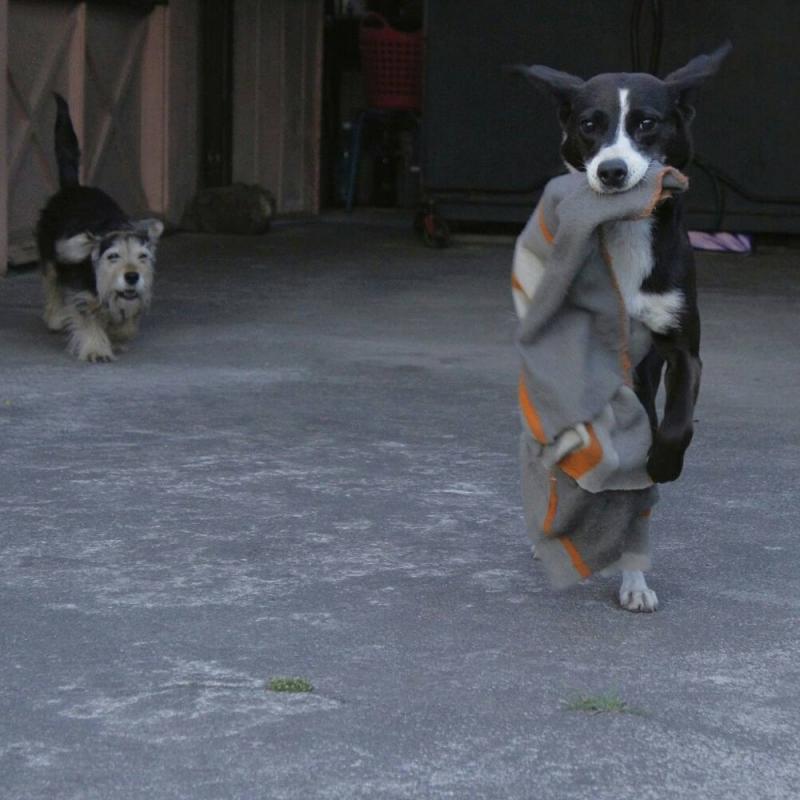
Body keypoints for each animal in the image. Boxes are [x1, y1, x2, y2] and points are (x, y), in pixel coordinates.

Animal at [37, 91, 164, 362]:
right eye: (112, 256)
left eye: (143, 257)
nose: (132, 276)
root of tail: (72, 187)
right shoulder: (82, 291)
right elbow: (87, 318)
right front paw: (96, 348)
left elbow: (125, 322)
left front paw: (117, 335)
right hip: (49, 254)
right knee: (52, 283)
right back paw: (54, 316)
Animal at [512, 45, 732, 612]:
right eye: (590, 124)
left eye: (647, 123)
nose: (611, 172)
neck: (628, 230)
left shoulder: (683, 349)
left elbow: (676, 423)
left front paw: (666, 462)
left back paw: (635, 580)